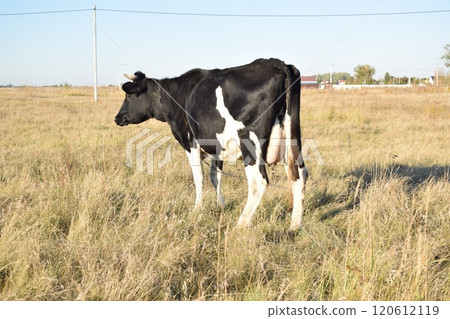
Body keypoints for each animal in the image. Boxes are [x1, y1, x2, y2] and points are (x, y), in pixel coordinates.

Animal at [114, 58, 308, 230]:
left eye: (129, 95)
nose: (117, 118)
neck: (177, 95)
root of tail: (275, 62)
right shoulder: (218, 145)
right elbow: (216, 176)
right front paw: (220, 205)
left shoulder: (190, 142)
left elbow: (198, 177)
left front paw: (197, 209)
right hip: (292, 138)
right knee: (300, 175)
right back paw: (294, 225)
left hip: (250, 142)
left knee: (258, 182)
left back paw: (241, 224)